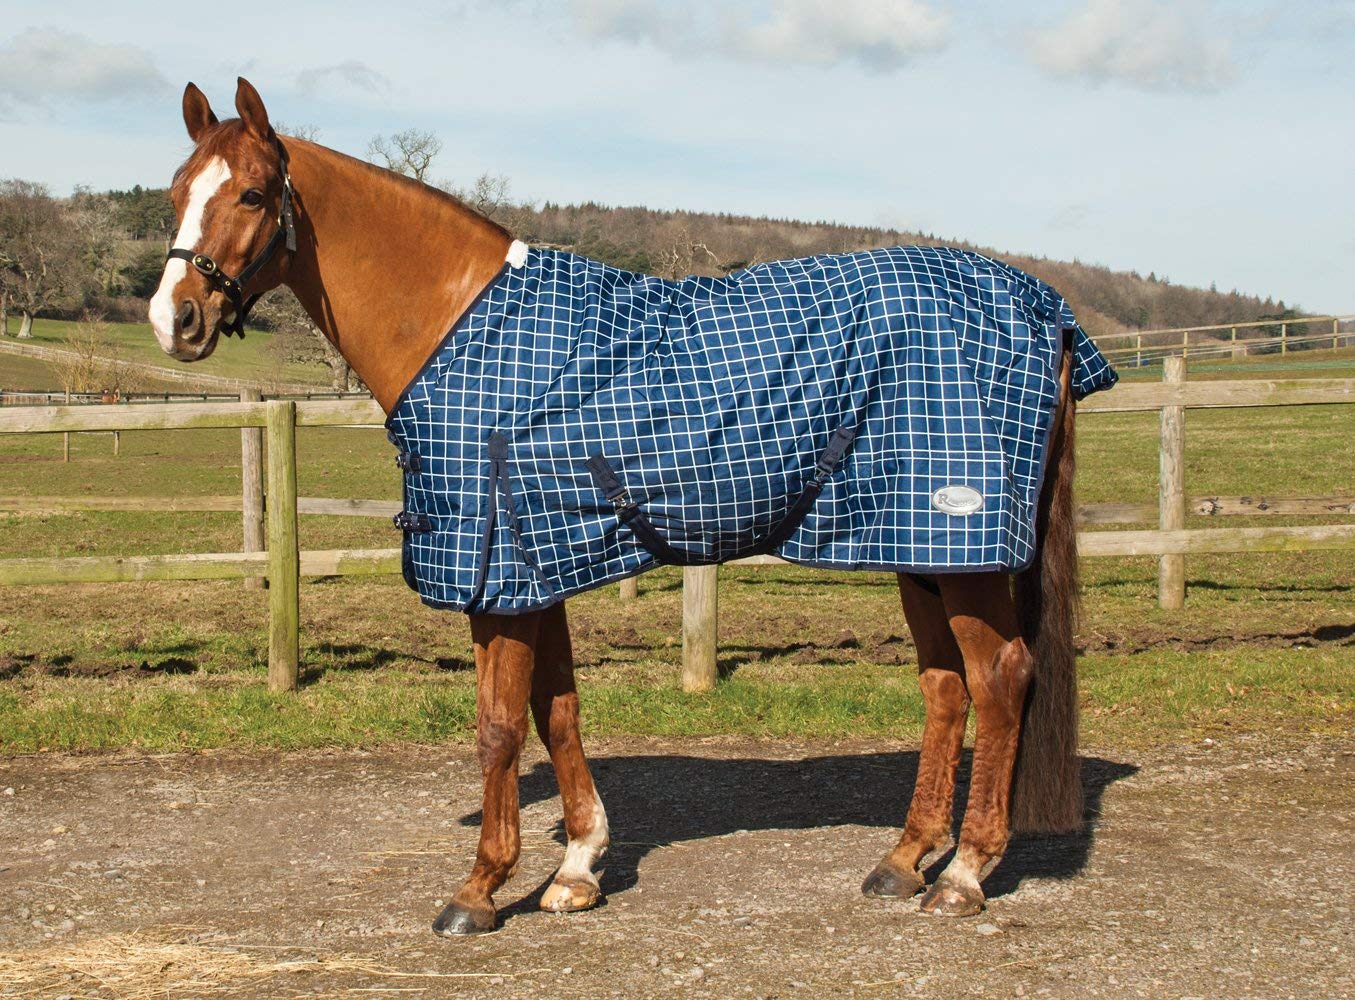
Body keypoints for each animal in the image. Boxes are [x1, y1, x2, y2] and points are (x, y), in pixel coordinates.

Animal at [150, 78, 1101, 936]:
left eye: (252, 193)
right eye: (174, 194)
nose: (174, 320)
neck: (461, 328)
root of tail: (1040, 305)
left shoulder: (497, 573)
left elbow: (499, 726)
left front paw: (480, 889)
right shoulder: (539, 563)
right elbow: (558, 711)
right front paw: (576, 868)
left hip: (959, 546)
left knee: (998, 678)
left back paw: (965, 875)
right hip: (914, 547)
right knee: (944, 688)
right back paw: (903, 862)